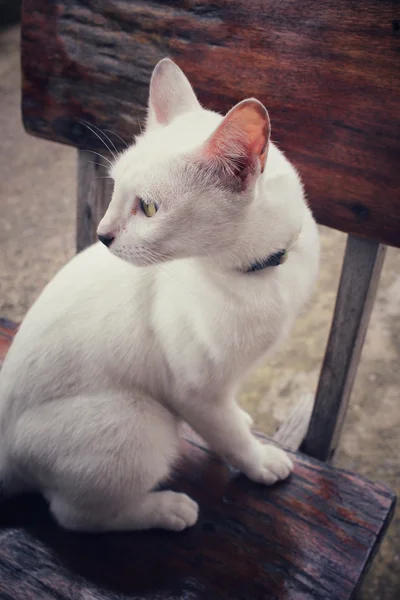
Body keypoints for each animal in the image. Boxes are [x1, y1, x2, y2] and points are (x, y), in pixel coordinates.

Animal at [0, 59, 320, 528]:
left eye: (148, 208)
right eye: (115, 188)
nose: (102, 235)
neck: (259, 274)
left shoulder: (221, 384)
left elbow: (232, 415)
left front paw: (243, 418)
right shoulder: (195, 393)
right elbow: (230, 439)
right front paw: (261, 462)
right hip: (142, 424)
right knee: (74, 515)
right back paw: (169, 510)